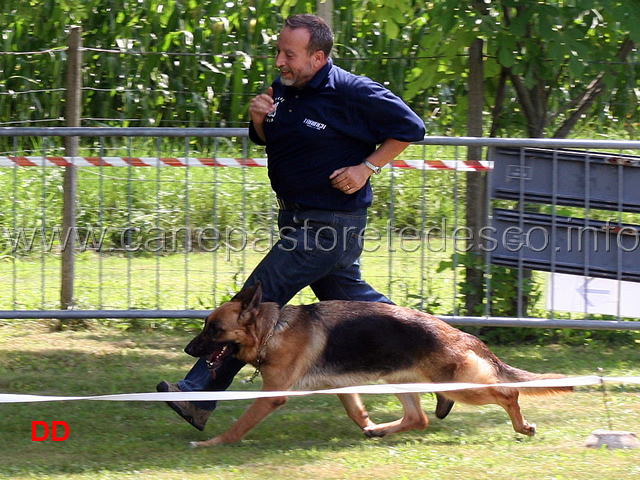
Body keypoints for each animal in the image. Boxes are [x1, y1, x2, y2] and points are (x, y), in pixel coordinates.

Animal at [184, 284, 568, 448]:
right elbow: (356, 411)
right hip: (401, 383)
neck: (272, 329)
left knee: (508, 393)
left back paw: (522, 426)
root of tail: (461, 333)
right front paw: (368, 425)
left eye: (213, 329)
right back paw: (381, 430)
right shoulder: (342, 386)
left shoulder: (272, 395)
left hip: (456, 385)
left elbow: (240, 424)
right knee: (419, 418)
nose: (189, 349)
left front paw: (212, 443)